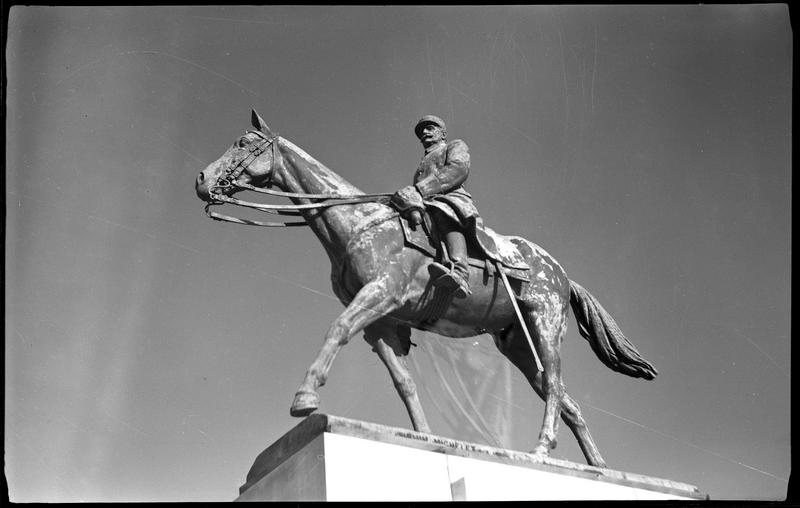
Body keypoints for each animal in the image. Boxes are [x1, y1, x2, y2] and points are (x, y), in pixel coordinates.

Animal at [194, 111, 656, 468]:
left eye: (242, 143)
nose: (201, 179)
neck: (360, 223)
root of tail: (559, 273)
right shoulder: (381, 324)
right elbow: (404, 382)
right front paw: (423, 436)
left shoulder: (379, 294)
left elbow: (337, 330)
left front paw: (305, 398)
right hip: (517, 344)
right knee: (565, 400)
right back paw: (598, 467)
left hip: (544, 326)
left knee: (556, 386)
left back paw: (542, 448)